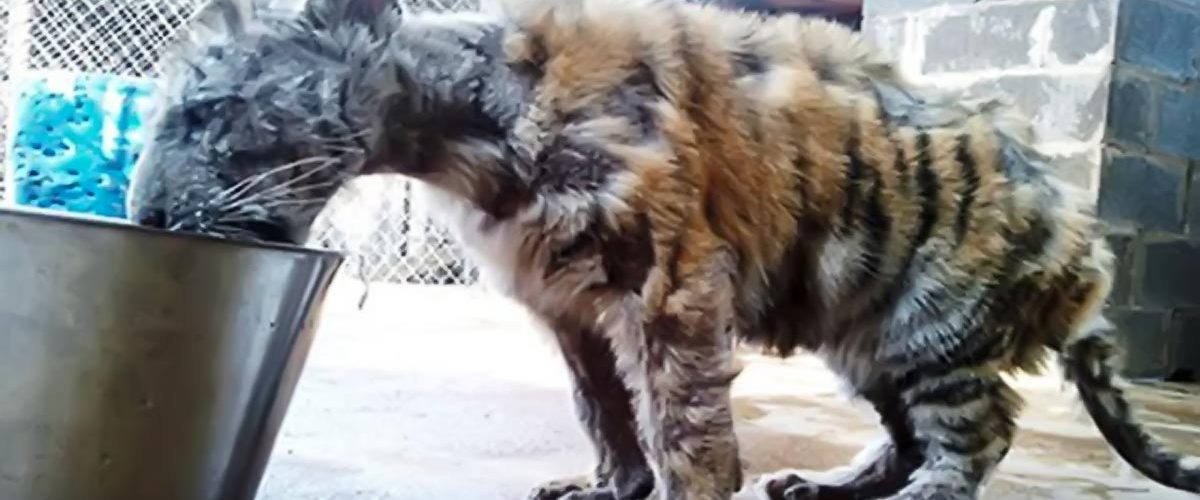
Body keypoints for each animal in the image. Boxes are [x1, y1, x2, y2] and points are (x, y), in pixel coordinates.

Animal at [125, 0, 1200, 498]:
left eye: (202, 113)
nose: (147, 215)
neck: (451, 132)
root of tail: (1083, 242)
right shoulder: (566, 305)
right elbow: (604, 411)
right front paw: (610, 486)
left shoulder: (668, 285)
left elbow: (683, 425)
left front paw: (679, 488)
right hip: (865, 338)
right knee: (908, 436)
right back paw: (826, 484)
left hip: (933, 325)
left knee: (978, 436)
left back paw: (923, 496)